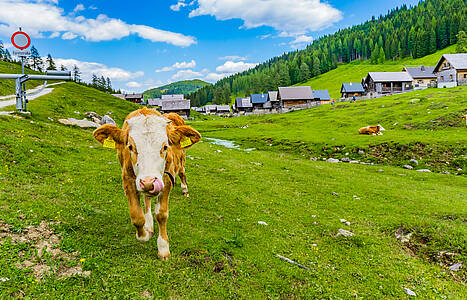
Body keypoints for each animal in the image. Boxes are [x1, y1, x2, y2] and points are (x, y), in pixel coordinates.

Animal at [92, 108, 200, 260]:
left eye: (165, 146)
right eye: (130, 146)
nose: (149, 183)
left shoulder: (167, 179)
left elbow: (161, 214)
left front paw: (163, 248)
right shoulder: (128, 180)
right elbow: (137, 216)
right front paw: (144, 233)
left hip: (181, 157)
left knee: (182, 172)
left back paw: (185, 190)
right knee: (147, 200)